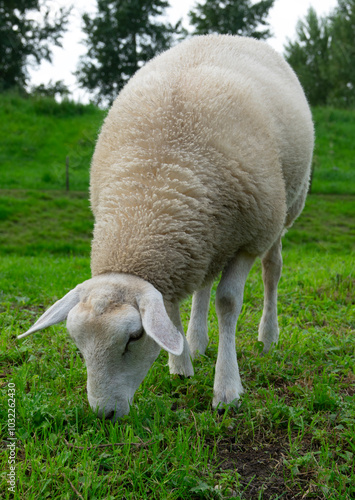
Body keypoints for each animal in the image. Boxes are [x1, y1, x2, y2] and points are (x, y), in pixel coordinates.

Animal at [19, 33, 314, 420]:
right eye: (78, 347)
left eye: (134, 337)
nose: (104, 415)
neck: (152, 197)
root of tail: (227, 35)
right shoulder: (179, 250)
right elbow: (171, 308)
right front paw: (181, 365)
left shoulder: (250, 237)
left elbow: (228, 302)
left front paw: (227, 390)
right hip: (207, 237)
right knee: (203, 282)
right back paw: (198, 341)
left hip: (283, 211)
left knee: (271, 271)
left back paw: (268, 336)